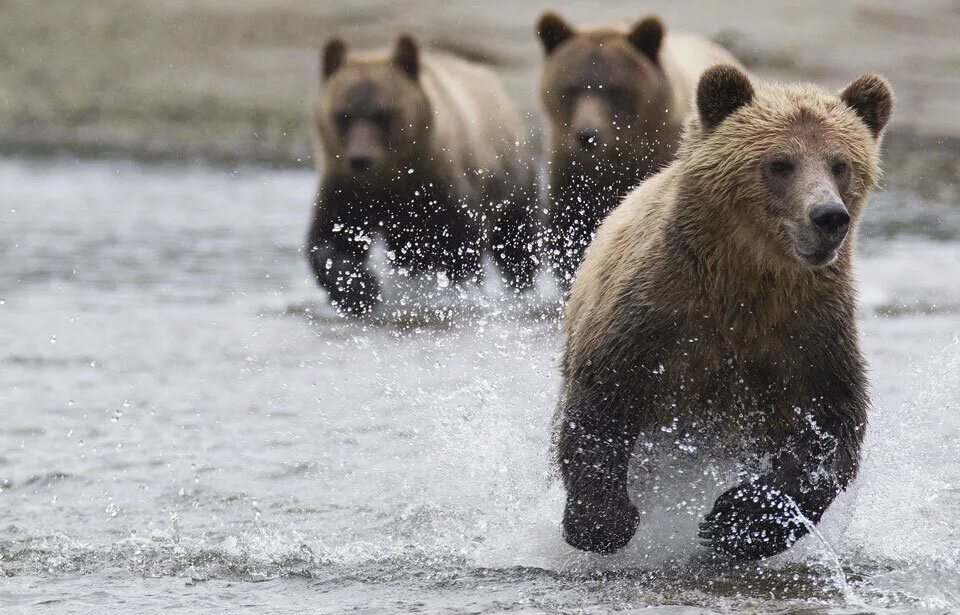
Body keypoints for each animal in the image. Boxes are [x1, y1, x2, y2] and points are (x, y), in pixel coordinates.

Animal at [312, 35, 544, 316]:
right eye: (343, 115)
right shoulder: (344, 188)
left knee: (516, 245)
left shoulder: (443, 185)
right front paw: (360, 289)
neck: (393, 178)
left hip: (511, 179)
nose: (361, 159)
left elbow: (459, 247)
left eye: (383, 114)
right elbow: (331, 242)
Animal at [556, 65, 892, 560]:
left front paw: (736, 521)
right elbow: (603, 397)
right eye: (780, 163)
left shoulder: (810, 327)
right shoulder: (654, 310)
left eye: (840, 164)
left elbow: (831, 426)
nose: (829, 216)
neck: (747, 278)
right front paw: (601, 521)